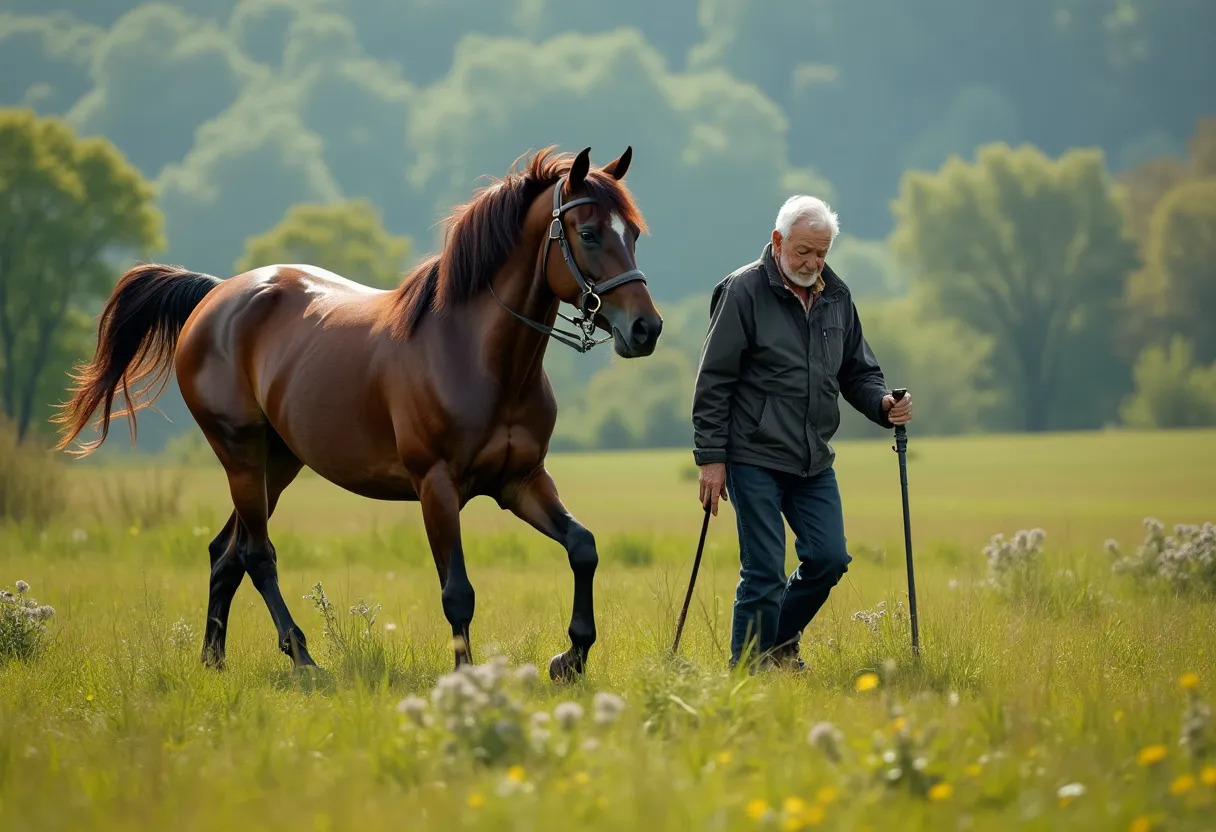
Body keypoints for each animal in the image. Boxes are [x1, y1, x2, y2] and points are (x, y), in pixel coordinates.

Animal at [54, 145, 666, 681]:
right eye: (588, 233)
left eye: (634, 233)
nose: (646, 329)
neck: (478, 356)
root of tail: (215, 295)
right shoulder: (436, 487)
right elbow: (458, 592)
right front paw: (467, 680)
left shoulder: (521, 481)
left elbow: (582, 548)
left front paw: (571, 658)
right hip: (241, 454)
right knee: (256, 554)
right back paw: (302, 658)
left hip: (279, 462)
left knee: (223, 554)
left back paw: (214, 660)